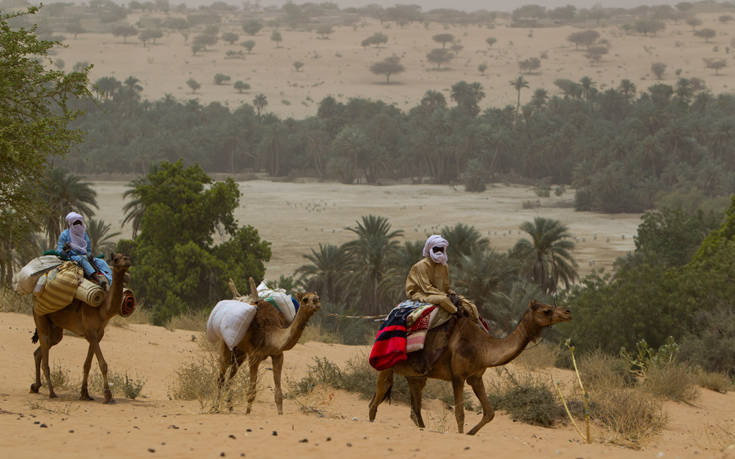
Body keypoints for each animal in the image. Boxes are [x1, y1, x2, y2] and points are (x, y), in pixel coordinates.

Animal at [30, 253, 133, 404]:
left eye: (126, 257)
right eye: (116, 259)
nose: (127, 261)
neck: (102, 309)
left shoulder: (97, 334)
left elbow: (87, 364)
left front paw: (85, 394)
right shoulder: (90, 332)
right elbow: (103, 364)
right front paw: (108, 396)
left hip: (55, 328)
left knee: (40, 351)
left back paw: (35, 386)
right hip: (40, 317)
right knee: (45, 359)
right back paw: (52, 393)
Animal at [218, 280, 322, 416]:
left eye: (318, 297)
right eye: (305, 299)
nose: (316, 303)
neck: (271, 335)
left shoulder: (278, 355)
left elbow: (278, 394)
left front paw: (280, 414)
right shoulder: (254, 356)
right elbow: (251, 393)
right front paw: (247, 413)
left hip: (240, 352)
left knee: (230, 376)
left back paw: (230, 407)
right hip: (226, 344)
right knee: (221, 375)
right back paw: (215, 407)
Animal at [370, 300, 572, 436]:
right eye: (547, 310)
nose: (568, 312)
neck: (483, 347)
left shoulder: (476, 377)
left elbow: (490, 413)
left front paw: (470, 434)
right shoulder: (458, 376)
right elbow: (460, 413)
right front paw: (462, 435)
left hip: (416, 374)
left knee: (415, 409)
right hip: (387, 365)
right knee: (376, 401)